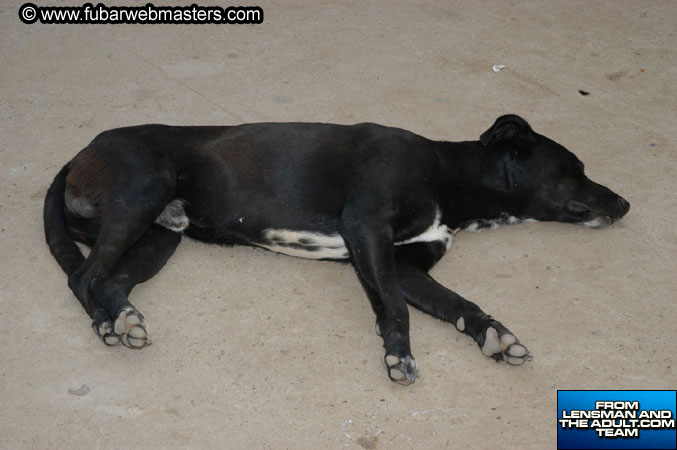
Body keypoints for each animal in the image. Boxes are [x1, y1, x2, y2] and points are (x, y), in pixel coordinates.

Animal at [43, 115, 628, 384]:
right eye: (574, 169)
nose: (624, 203)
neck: (448, 176)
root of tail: (81, 154)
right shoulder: (367, 226)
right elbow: (394, 309)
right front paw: (398, 355)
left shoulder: (406, 266)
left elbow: (455, 304)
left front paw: (493, 334)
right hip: (139, 198)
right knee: (84, 278)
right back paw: (106, 325)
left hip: (161, 236)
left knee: (110, 281)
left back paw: (122, 319)